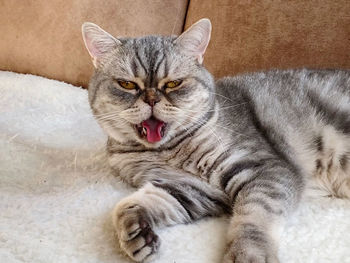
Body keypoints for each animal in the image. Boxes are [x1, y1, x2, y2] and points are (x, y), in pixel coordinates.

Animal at [82, 19, 350, 263]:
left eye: (173, 83)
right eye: (127, 84)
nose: (151, 99)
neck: (166, 151)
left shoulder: (266, 168)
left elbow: (254, 214)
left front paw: (248, 253)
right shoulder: (193, 189)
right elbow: (133, 204)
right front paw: (137, 232)